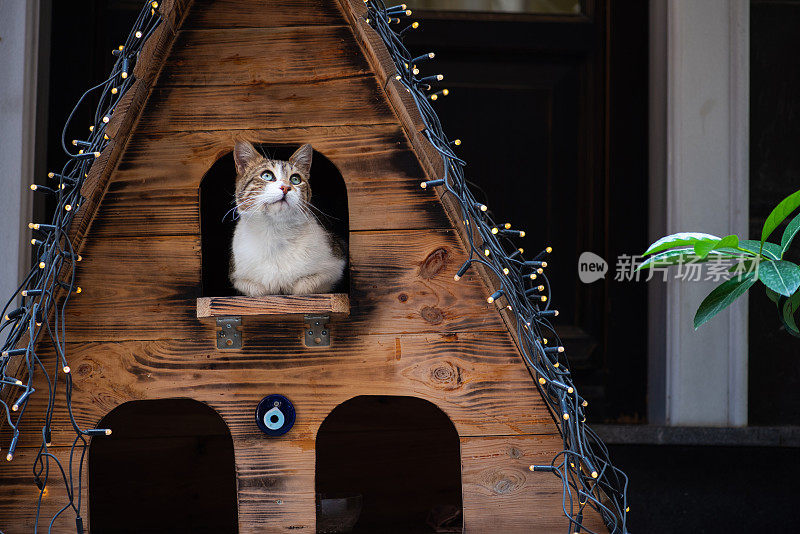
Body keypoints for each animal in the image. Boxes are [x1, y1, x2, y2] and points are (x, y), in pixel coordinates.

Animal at [228, 142, 346, 300]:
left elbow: (305, 286)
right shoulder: (237, 276)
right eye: (267, 175)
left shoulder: (336, 264)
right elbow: (256, 290)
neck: (275, 231)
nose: (286, 187)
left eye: (295, 179)